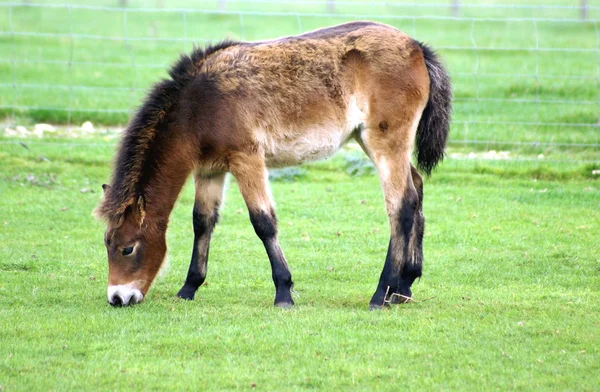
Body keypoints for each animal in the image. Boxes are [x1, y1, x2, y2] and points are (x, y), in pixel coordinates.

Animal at [95, 21, 450, 310]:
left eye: (127, 249)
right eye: (106, 244)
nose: (118, 298)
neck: (200, 103)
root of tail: (417, 47)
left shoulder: (247, 158)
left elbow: (263, 222)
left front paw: (284, 292)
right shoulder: (210, 169)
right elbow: (202, 221)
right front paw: (188, 289)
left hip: (384, 143)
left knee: (400, 205)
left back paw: (381, 294)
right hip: (374, 143)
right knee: (416, 190)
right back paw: (404, 286)